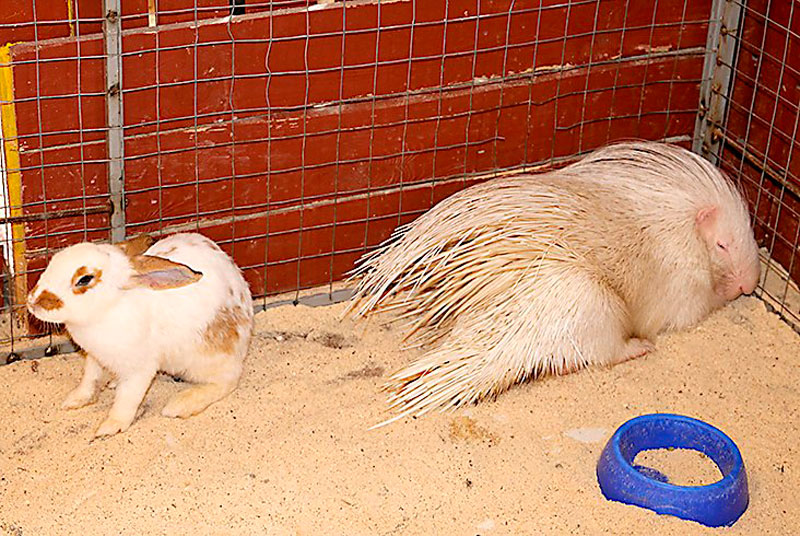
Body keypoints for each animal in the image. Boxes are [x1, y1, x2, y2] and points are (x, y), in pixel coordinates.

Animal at [26, 232, 254, 437]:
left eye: (84, 279)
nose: (32, 302)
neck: (109, 307)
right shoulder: (94, 358)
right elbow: (90, 380)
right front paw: (75, 400)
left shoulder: (140, 369)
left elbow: (127, 399)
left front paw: (110, 427)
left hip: (206, 359)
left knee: (227, 381)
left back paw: (180, 404)